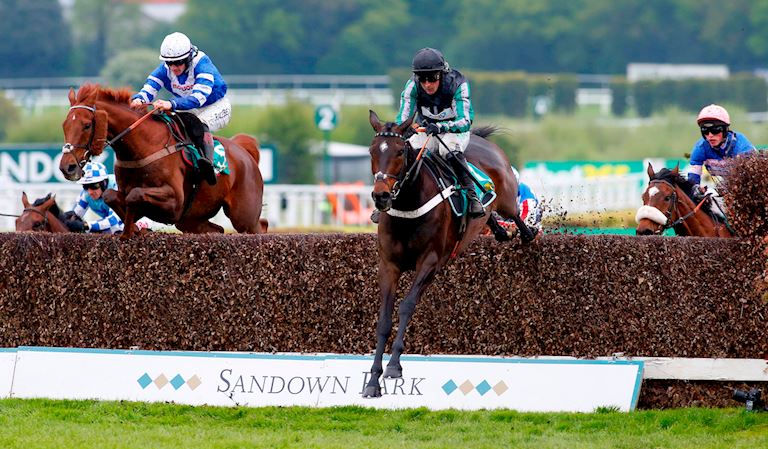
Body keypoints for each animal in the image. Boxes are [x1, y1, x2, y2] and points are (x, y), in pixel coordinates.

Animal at [59, 84, 268, 238]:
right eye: (65, 125)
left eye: (87, 125)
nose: (66, 167)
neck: (144, 147)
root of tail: (243, 151)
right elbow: (111, 195)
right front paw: (133, 229)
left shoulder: (174, 202)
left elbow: (134, 194)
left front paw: (130, 230)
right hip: (190, 220)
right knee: (218, 230)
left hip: (244, 216)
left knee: (261, 226)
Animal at [362, 110, 536, 398]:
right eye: (372, 150)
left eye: (400, 151)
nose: (381, 196)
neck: (409, 206)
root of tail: (480, 139)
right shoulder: (389, 265)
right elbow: (384, 320)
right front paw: (373, 380)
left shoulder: (430, 262)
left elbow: (406, 306)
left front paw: (394, 366)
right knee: (491, 218)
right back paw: (499, 230)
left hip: (507, 198)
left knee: (514, 213)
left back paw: (525, 232)